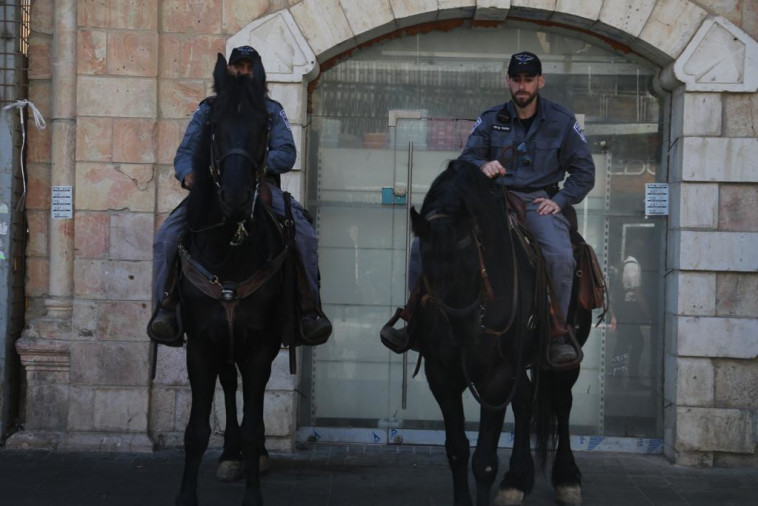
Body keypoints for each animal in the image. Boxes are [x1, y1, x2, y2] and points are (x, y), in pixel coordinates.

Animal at [174, 53, 290, 504]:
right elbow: (195, 431)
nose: (238, 197)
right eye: (213, 124)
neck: (230, 249)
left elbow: (257, 424)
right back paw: (230, 455)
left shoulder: (260, 346)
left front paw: (253, 488)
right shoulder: (200, 346)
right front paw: (187, 495)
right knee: (227, 382)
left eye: (264, 125)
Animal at [410, 161, 592, 506]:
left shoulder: (494, 377)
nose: (466, 337)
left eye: (472, 264)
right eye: (427, 270)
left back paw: (567, 479)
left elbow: (484, 461)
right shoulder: (441, 374)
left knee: (562, 402)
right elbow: (457, 450)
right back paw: (516, 481)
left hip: (565, 356)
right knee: (524, 402)